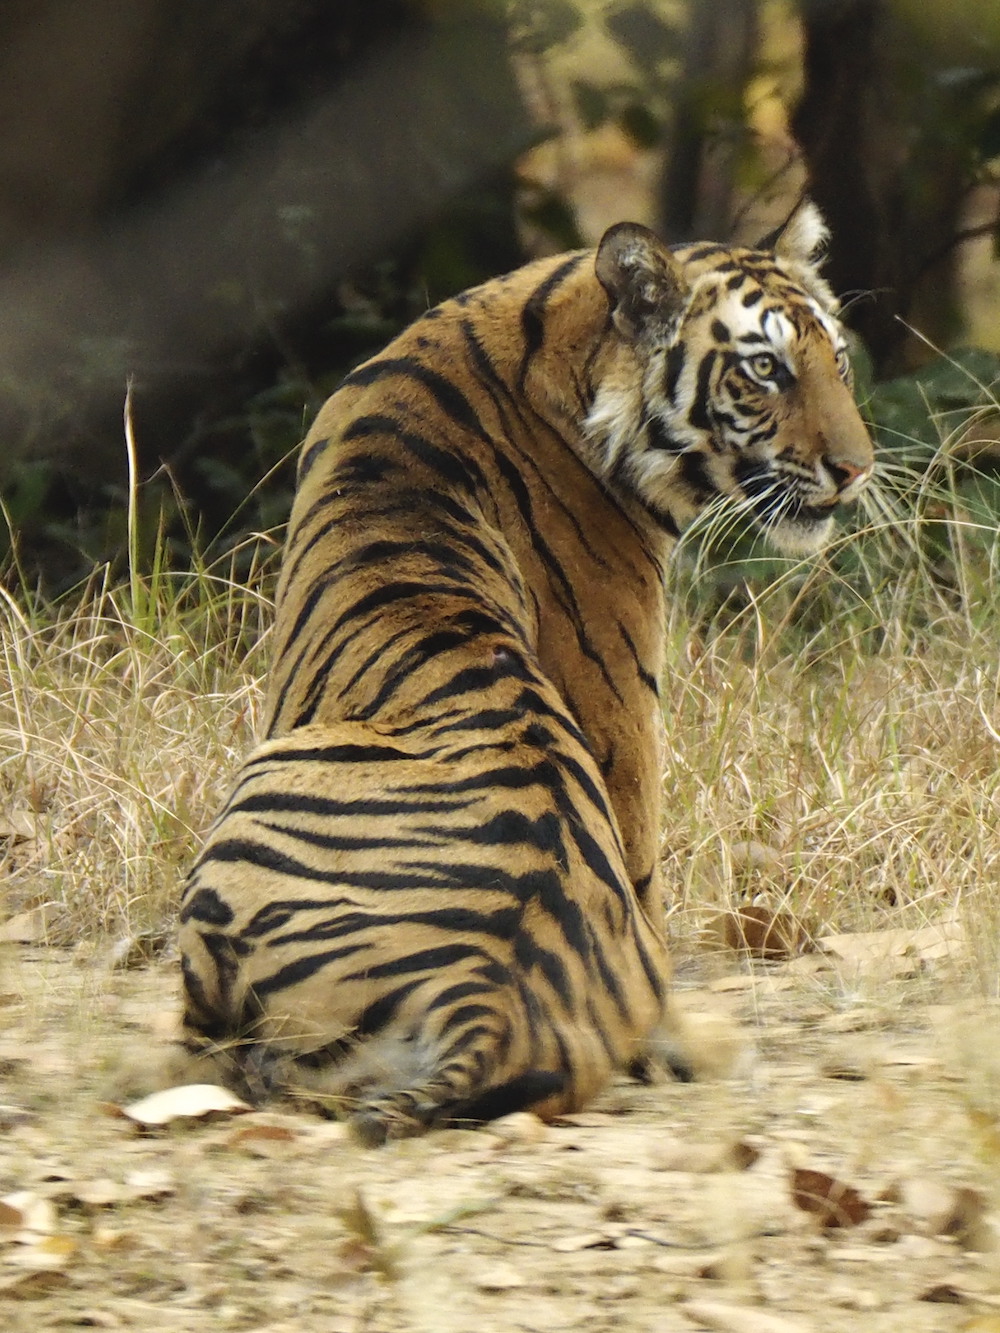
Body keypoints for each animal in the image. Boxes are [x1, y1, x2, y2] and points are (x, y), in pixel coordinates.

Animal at [176, 199, 874, 1146]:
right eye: (765, 369)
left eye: (835, 360)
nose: (857, 470)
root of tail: (488, 1000)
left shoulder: (612, 683)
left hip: (256, 798)